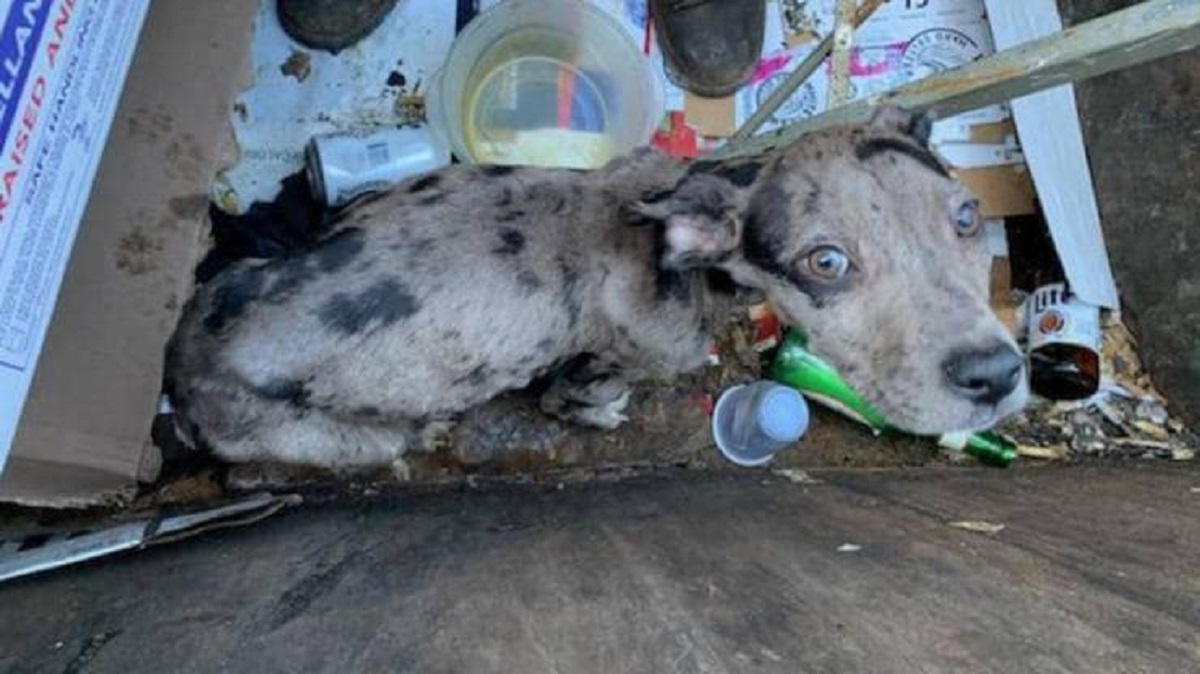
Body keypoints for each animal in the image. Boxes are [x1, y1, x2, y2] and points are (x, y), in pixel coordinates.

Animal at [164, 109, 1027, 467]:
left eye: (967, 216)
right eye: (825, 262)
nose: (996, 377)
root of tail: (182, 369)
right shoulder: (616, 362)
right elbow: (574, 399)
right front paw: (598, 414)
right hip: (338, 437)